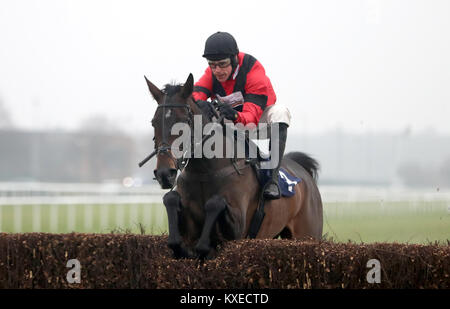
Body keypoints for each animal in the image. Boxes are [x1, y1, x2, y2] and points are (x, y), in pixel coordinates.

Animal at [142, 73, 322, 258]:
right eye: (154, 122)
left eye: (183, 121)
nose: (165, 173)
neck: (205, 171)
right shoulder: (188, 231)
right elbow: (170, 202)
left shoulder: (238, 228)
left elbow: (215, 203)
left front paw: (204, 246)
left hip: (308, 234)